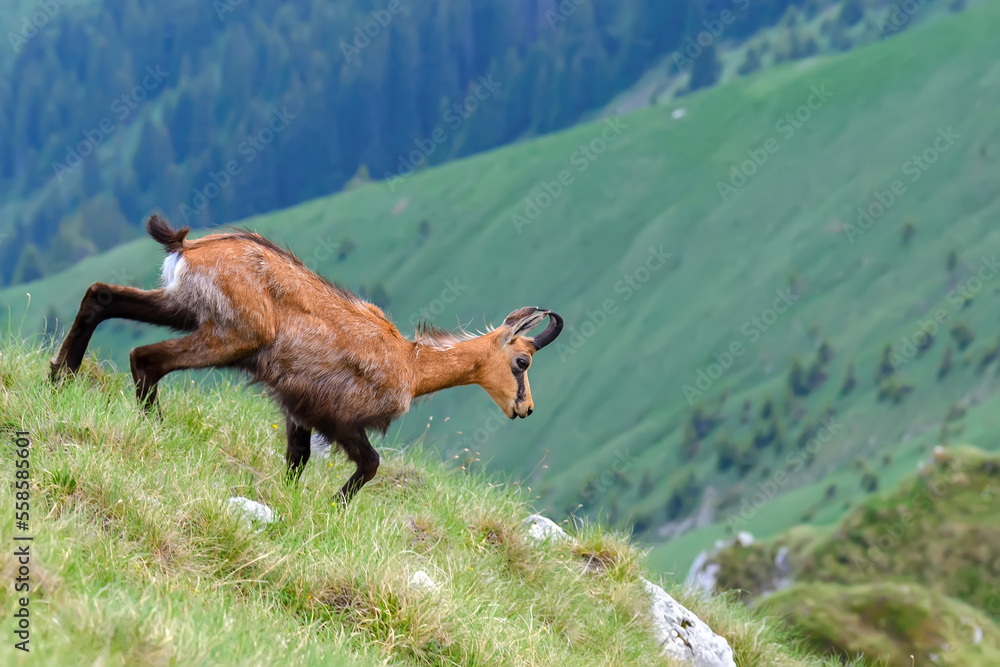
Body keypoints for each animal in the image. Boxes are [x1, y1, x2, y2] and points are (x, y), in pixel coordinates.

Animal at [49, 215, 564, 502]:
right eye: (523, 362)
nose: (525, 408)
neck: (411, 365)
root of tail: (187, 246)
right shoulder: (337, 415)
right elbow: (371, 464)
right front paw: (336, 505)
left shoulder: (298, 407)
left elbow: (296, 460)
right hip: (232, 335)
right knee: (146, 357)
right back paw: (155, 428)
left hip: (183, 307)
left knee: (102, 296)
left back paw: (62, 375)